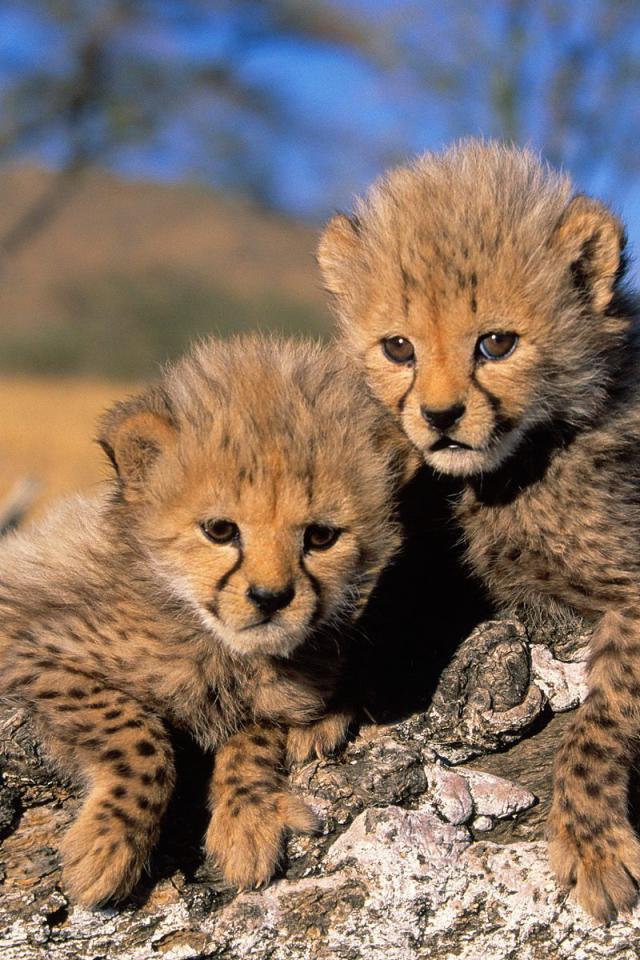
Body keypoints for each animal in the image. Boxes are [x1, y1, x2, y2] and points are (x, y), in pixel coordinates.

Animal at [0, 334, 415, 907]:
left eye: (321, 536)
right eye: (220, 530)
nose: (270, 598)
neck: (211, 641)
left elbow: (256, 735)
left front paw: (247, 821)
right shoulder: (29, 650)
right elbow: (138, 734)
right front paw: (107, 848)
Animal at [317, 139, 640, 921]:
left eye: (496, 343)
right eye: (398, 347)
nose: (438, 417)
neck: (507, 474)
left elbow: (603, 716)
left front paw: (591, 841)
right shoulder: (440, 564)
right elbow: (383, 610)